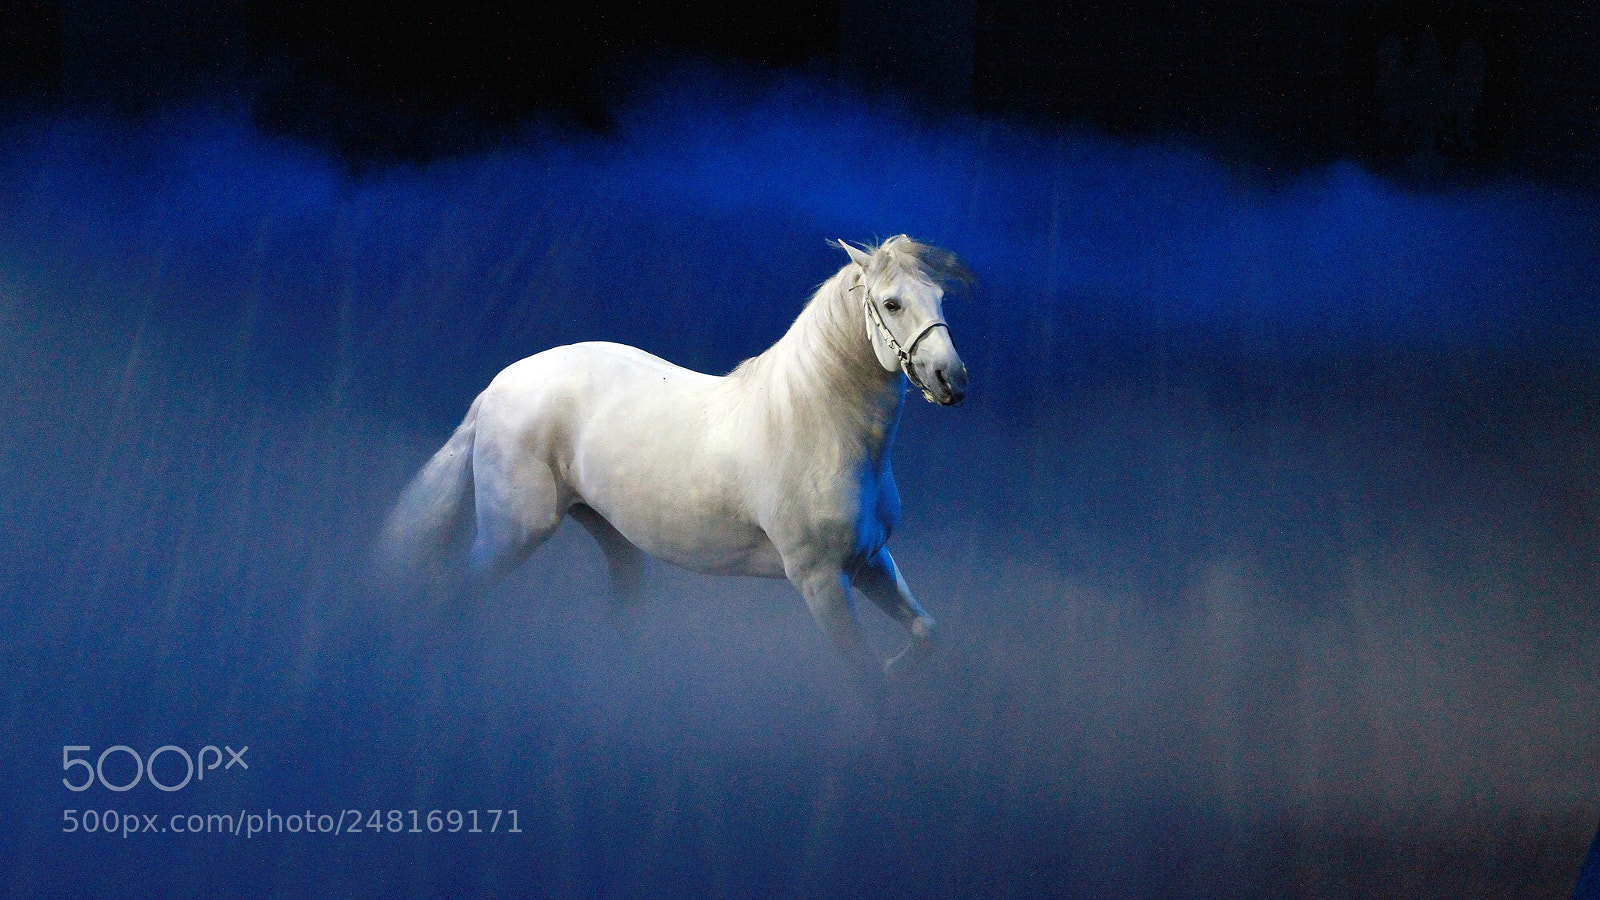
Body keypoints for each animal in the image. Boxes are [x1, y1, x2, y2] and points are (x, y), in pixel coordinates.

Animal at [378, 235, 970, 682]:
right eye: (892, 303)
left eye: (940, 295)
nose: (952, 379)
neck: (815, 427)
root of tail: (497, 387)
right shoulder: (821, 582)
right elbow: (867, 681)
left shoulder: (870, 561)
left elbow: (927, 633)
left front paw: (900, 666)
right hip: (514, 533)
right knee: (453, 594)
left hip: (608, 532)